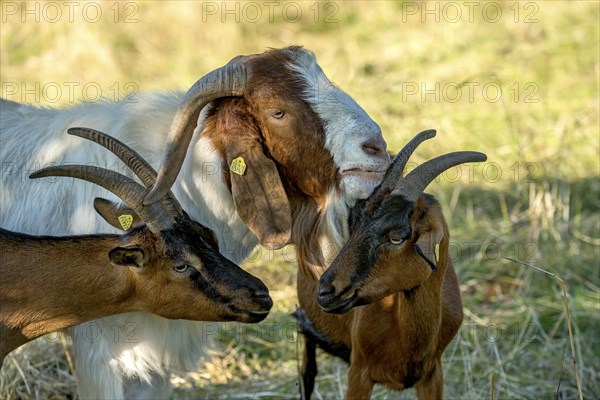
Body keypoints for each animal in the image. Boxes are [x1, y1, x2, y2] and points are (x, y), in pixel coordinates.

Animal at [296, 130, 488, 396]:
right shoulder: (359, 372)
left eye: (397, 237)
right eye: (354, 223)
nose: (325, 291)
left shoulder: (433, 375)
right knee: (307, 373)